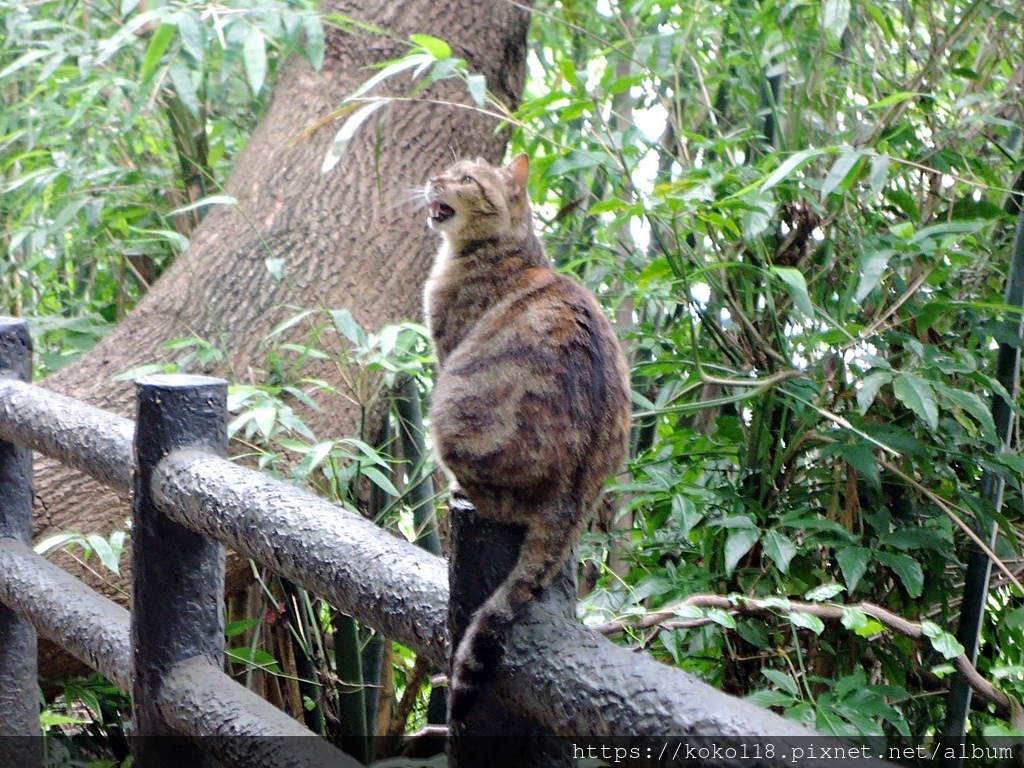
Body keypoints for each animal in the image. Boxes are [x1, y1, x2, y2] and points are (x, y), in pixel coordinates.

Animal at [421, 153, 630, 724]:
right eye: (449, 168)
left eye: (466, 178)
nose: (433, 178)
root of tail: (573, 503)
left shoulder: (446, 348)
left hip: (447, 411)